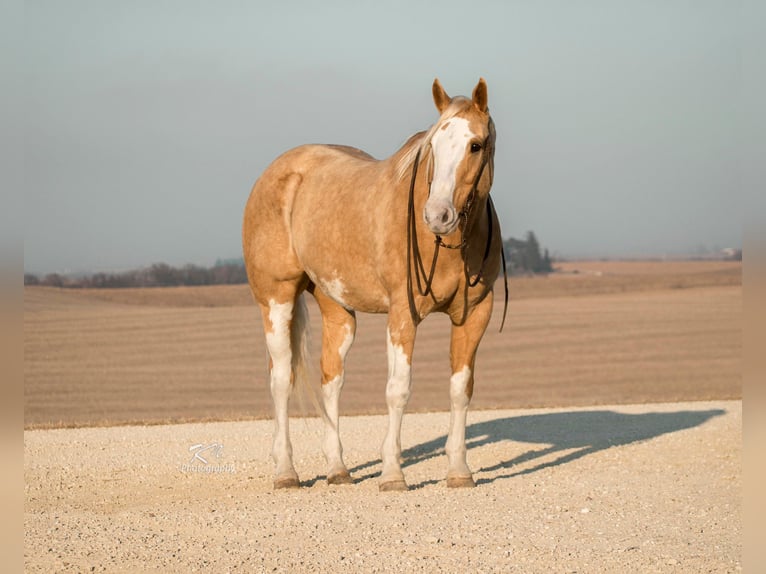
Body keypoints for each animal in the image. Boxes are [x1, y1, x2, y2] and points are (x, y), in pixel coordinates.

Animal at [243, 79, 508, 492]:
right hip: (276, 299)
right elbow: (398, 390)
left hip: (337, 308)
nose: (438, 216)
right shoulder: (402, 315)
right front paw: (392, 474)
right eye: (433, 146)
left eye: (476, 145)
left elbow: (460, 390)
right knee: (282, 379)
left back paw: (338, 469)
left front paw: (459, 470)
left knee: (331, 379)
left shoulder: (475, 315)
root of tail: (280, 171)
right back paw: (286, 471)